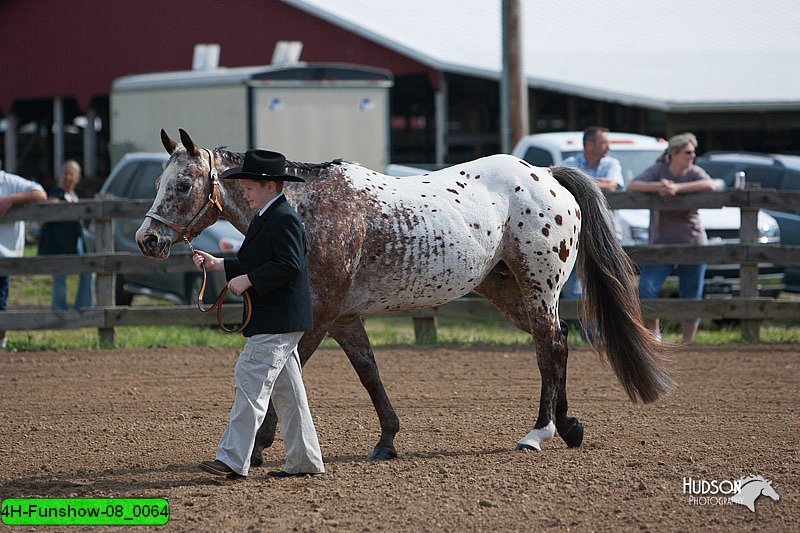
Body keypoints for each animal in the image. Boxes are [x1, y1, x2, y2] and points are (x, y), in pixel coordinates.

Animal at [136, 130, 668, 466]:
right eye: (159, 182)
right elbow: (369, 373)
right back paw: (567, 426)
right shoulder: (344, 318)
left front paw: (262, 446)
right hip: (506, 291)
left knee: (551, 348)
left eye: (182, 184)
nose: (148, 239)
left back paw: (539, 433)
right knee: (555, 344)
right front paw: (387, 440)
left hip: (540, 287)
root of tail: (548, 175)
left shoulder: (318, 316)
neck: (307, 210)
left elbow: (286, 374)